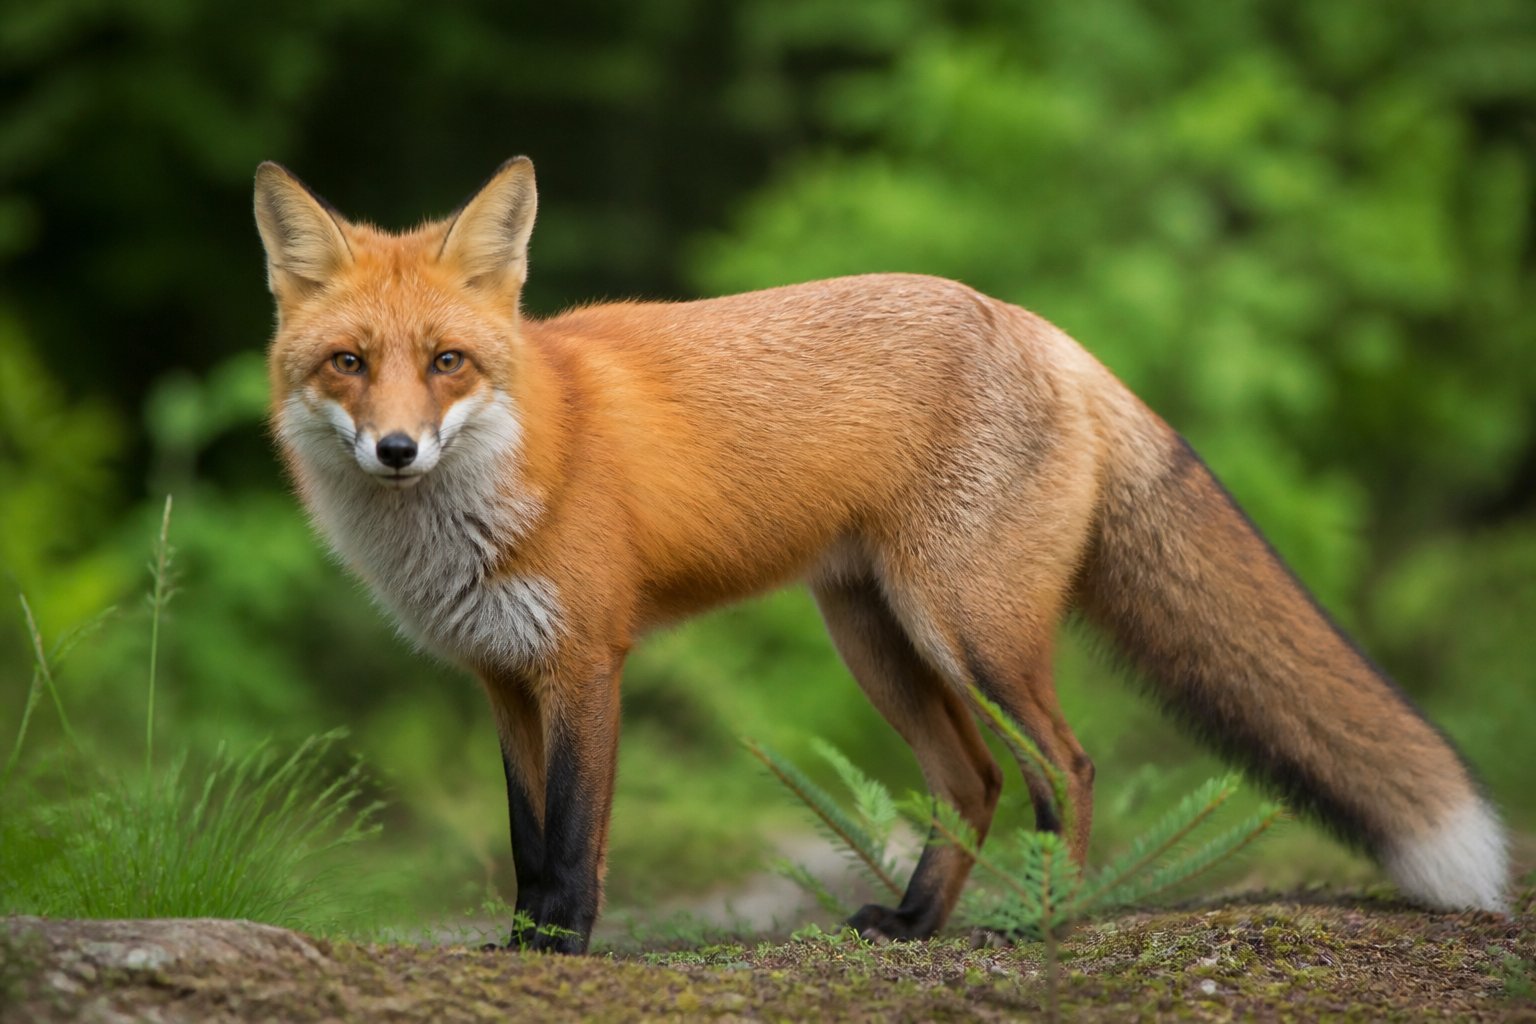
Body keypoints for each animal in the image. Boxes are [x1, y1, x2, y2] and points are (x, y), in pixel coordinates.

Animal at [254, 156, 1508, 954]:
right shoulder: (504, 676)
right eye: (349, 364)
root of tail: (1030, 322)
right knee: (977, 780)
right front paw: (518, 943)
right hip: (881, 640)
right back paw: (914, 926)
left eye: (449, 361)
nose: (398, 449)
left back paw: (1046, 923)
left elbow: (570, 839)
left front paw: (557, 949)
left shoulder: (585, 663)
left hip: (970, 630)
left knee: (1065, 766)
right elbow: (523, 837)